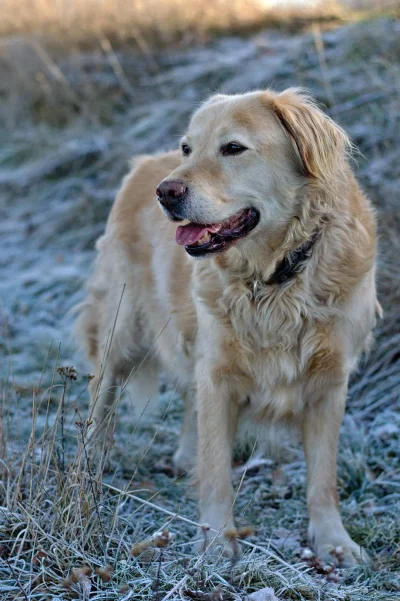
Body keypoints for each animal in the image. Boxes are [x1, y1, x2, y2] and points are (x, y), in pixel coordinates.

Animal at [76, 88, 380, 564]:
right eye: (187, 148)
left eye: (233, 148)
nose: (166, 192)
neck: (274, 278)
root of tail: (143, 164)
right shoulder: (218, 375)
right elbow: (217, 469)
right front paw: (218, 544)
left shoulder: (329, 382)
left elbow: (323, 479)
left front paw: (333, 542)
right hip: (118, 332)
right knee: (101, 405)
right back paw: (88, 472)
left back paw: (185, 455)